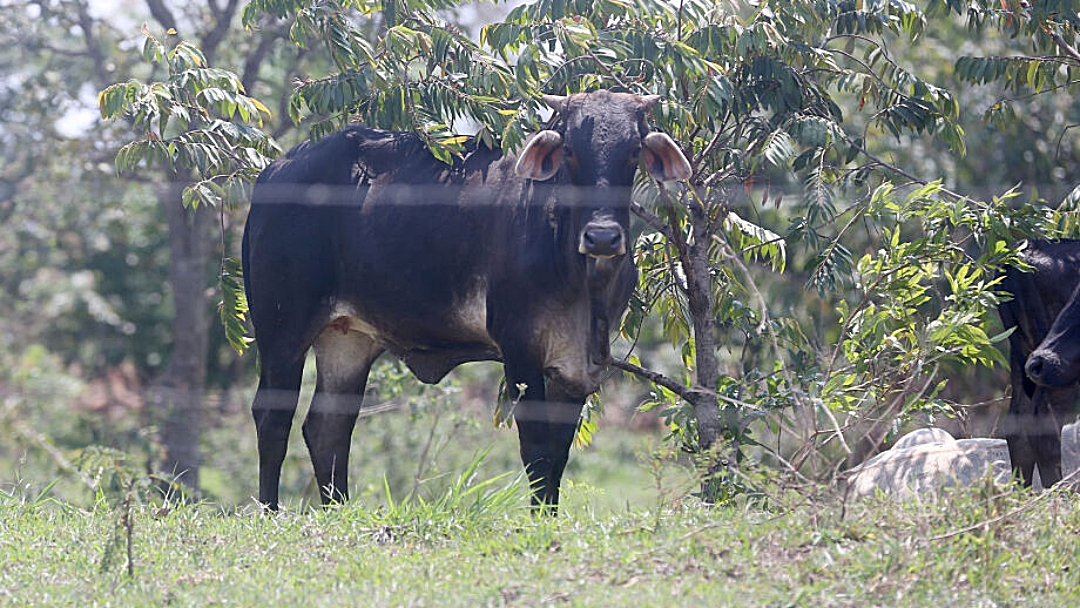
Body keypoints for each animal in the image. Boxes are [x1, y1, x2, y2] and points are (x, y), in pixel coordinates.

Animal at [243, 89, 691, 509]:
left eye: (633, 149)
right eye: (570, 151)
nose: (602, 238)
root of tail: (275, 171)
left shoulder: (578, 366)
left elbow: (558, 456)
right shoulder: (520, 349)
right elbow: (537, 451)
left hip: (347, 340)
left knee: (327, 427)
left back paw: (339, 510)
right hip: (282, 328)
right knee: (272, 417)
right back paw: (270, 510)